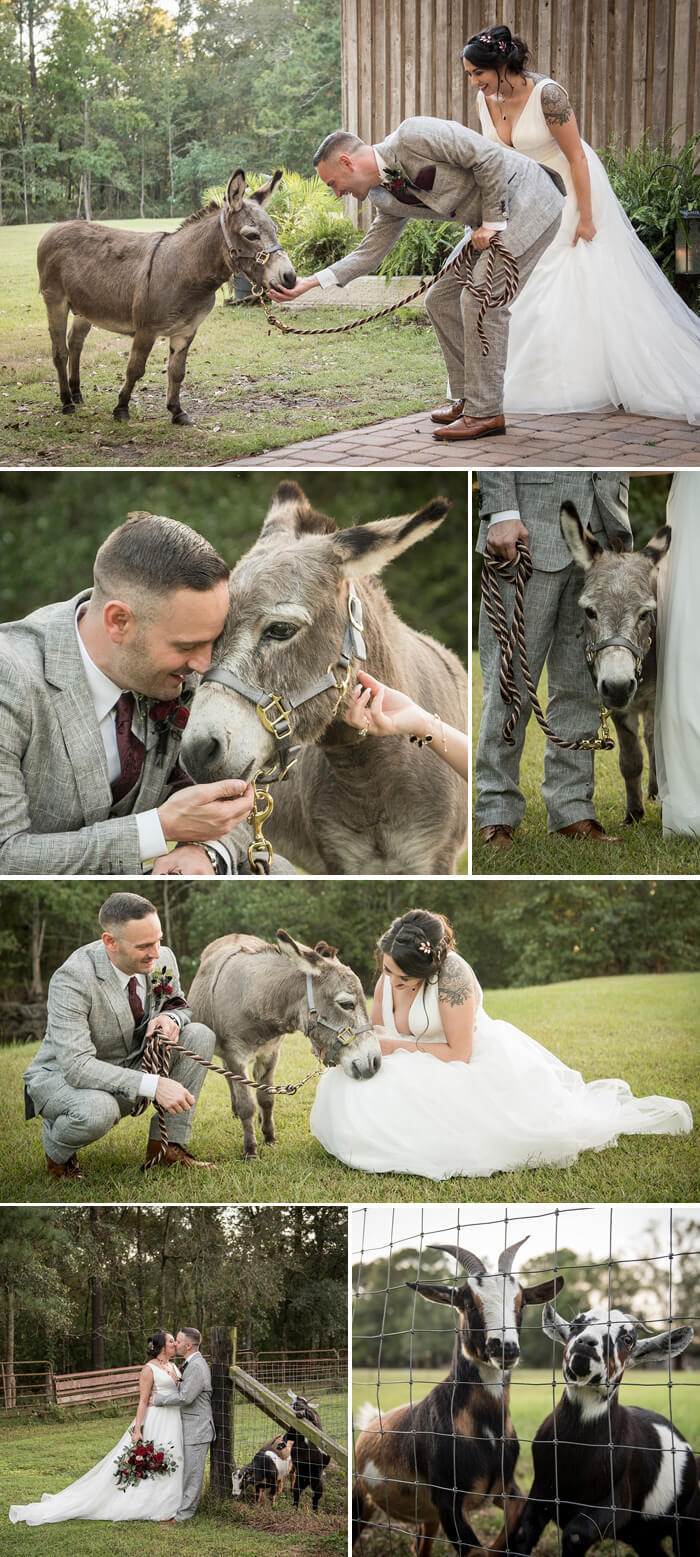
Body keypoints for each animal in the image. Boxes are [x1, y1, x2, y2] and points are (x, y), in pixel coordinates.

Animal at [353, 1239, 566, 1557]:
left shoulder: (502, 1487)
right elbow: (476, 1551)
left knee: (421, 1546)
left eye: (521, 1302)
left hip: (427, 1517)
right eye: (467, 1301)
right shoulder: (448, 1500)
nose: (505, 1348)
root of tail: (370, 1421)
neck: (486, 1432)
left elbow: (511, 1523)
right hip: (363, 1500)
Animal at [507, 1301, 700, 1557]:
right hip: (642, 1534)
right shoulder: (542, 1491)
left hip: (686, 1518)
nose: (586, 1343)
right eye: (575, 1324)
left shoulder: (617, 1503)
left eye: (627, 1339)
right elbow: (523, 1534)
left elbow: (576, 1535)